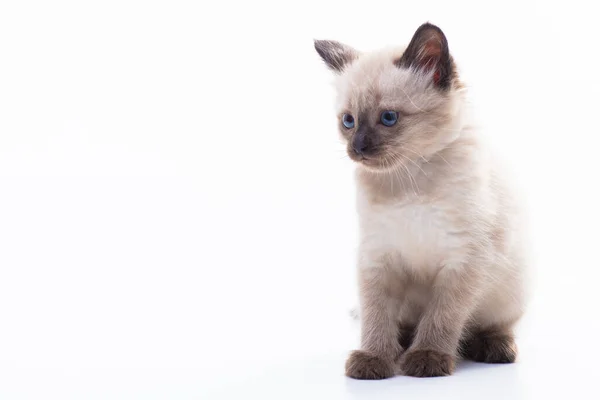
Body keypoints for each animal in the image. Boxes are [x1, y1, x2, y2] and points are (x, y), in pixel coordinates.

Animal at [316, 23, 528, 380]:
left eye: (389, 118)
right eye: (348, 121)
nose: (357, 148)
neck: (409, 180)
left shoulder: (463, 260)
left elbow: (442, 316)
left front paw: (427, 357)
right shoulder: (378, 258)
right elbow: (377, 316)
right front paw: (374, 358)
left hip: (509, 291)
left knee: (494, 325)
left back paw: (493, 348)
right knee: (402, 323)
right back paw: (400, 345)